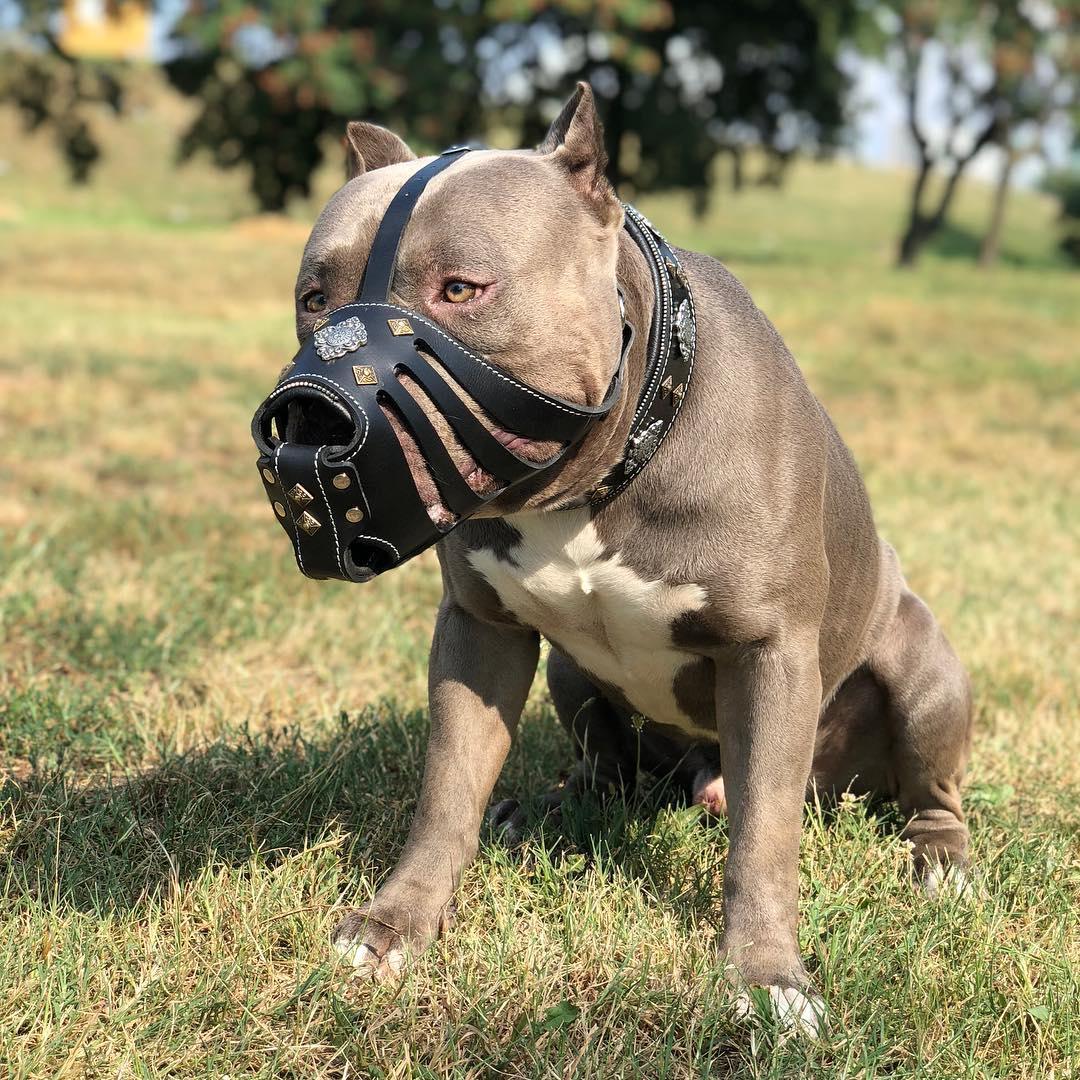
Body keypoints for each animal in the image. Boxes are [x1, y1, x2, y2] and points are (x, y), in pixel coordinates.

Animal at [291, 84, 976, 1028]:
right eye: (313, 296)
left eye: (461, 288)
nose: (309, 418)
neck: (599, 477)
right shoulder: (480, 631)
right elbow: (445, 792)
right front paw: (395, 924)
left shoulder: (770, 656)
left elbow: (764, 836)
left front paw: (767, 976)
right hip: (571, 675)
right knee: (606, 765)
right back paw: (547, 807)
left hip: (923, 665)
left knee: (928, 791)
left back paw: (940, 861)